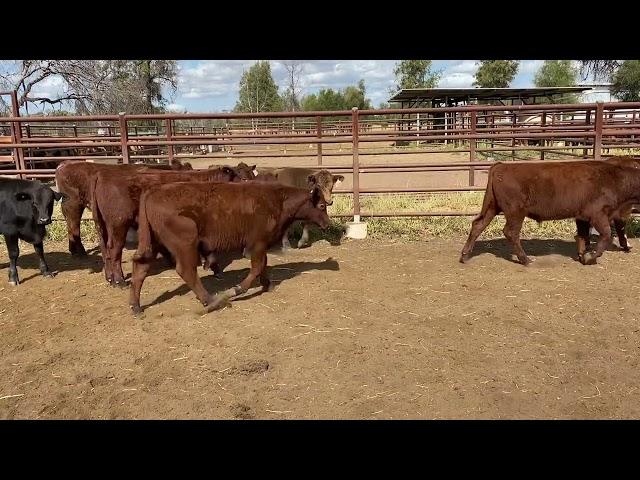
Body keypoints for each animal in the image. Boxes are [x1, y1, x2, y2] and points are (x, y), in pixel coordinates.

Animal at [129, 181, 330, 316]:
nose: (327, 224)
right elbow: (257, 267)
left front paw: (268, 284)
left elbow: (263, 265)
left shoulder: (262, 245)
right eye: (321, 205)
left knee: (140, 268)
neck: (278, 200)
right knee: (187, 271)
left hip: (153, 243)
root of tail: (153, 191)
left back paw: (136, 307)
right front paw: (237, 289)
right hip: (185, 244)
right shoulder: (258, 243)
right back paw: (212, 301)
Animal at [460, 161, 640, 266]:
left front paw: (582, 256)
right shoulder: (598, 215)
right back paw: (525, 259)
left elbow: (583, 236)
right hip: (515, 211)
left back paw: (465, 255)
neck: (614, 178)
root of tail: (501, 165)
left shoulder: (582, 217)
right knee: (511, 232)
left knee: (478, 224)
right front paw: (591, 258)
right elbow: (606, 235)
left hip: (492, 207)